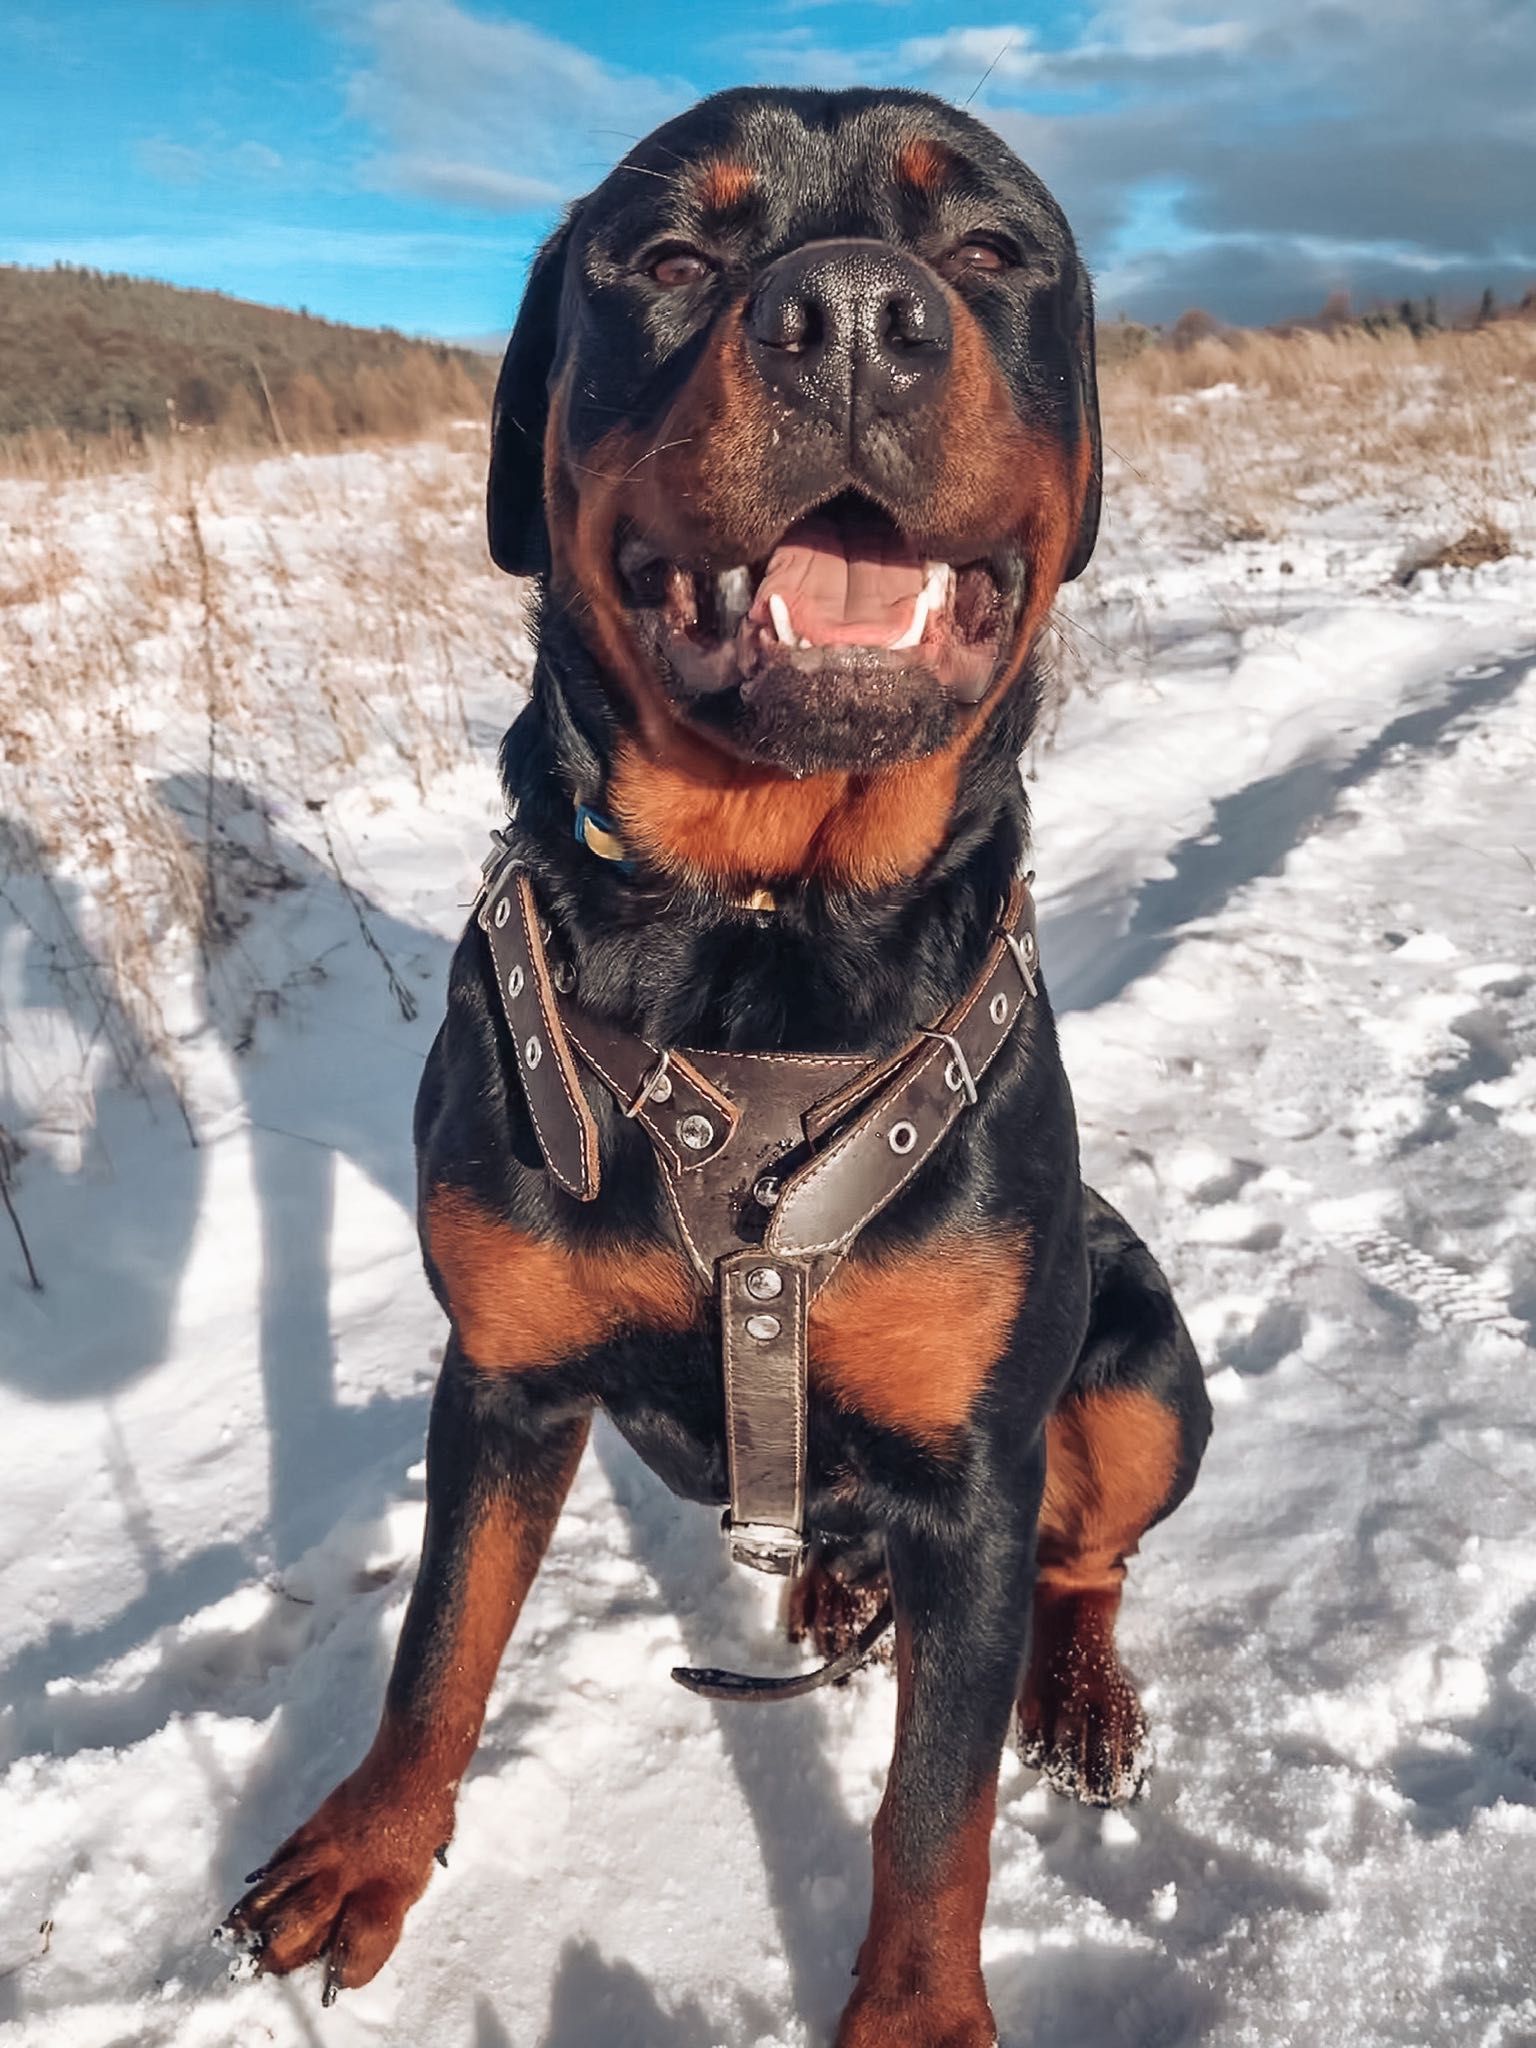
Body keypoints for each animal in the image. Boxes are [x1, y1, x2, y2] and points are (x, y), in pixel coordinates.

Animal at [225, 83, 1212, 2048]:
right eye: (670, 254)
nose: (854, 318)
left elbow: (935, 1809)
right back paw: (832, 1579)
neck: (757, 947)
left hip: (1147, 1361)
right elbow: (439, 1639)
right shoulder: (505, 1374)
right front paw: (368, 1845)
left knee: (1089, 1555)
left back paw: (1077, 1692)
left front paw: (916, 2017)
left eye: (990, 249)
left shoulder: (977, 1472)